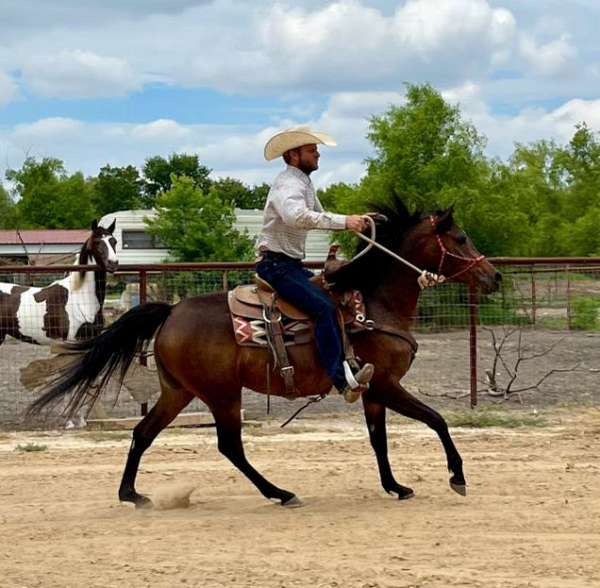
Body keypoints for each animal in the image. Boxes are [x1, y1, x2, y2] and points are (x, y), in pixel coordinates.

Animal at [29, 200, 502, 508]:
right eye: (460, 237)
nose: (494, 276)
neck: (373, 304)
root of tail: (171, 311)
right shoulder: (386, 384)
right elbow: (437, 420)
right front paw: (457, 476)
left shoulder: (372, 391)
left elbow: (378, 440)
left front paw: (396, 486)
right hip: (222, 394)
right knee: (229, 446)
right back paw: (280, 493)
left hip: (179, 391)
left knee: (144, 433)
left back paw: (132, 494)